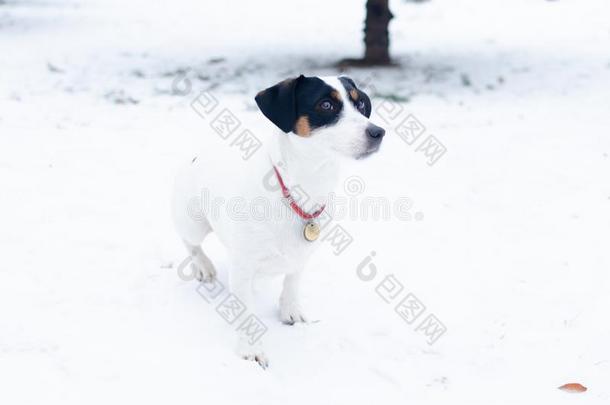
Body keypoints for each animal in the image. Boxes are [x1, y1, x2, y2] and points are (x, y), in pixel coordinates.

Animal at [171, 74, 382, 368]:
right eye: (326, 104)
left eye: (360, 103)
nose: (378, 132)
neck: (300, 189)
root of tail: (199, 153)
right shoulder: (243, 265)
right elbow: (247, 313)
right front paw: (250, 349)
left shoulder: (302, 255)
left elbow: (292, 283)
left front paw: (290, 311)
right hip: (193, 222)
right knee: (189, 241)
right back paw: (202, 265)